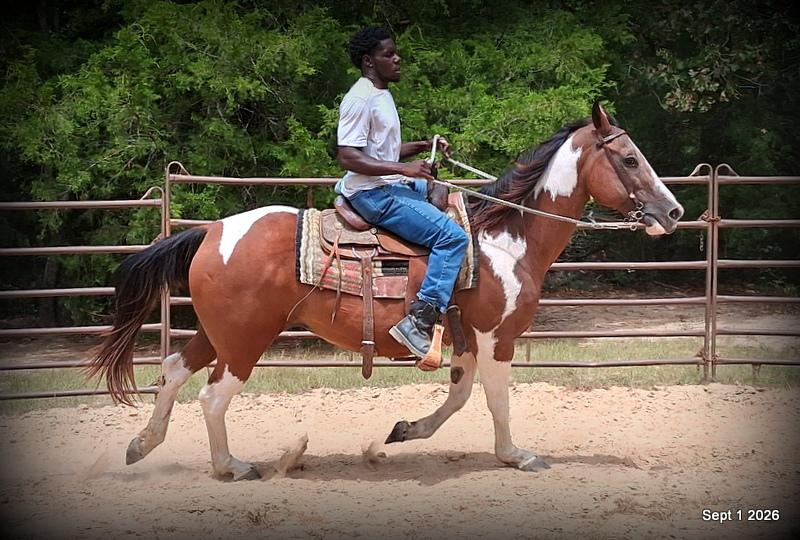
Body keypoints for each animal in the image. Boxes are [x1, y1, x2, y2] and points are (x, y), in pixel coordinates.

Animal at [87, 103, 684, 480]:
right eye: (629, 159)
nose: (674, 211)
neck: (507, 240)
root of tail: (211, 232)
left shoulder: (465, 340)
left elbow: (458, 397)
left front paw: (403, 431)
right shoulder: (496, 338)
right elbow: (496, 399)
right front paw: (516, 455)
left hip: (219, 334)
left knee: (172, 371)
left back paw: (142, 445)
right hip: (244, 340)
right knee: (212, 396)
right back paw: (230, 466)